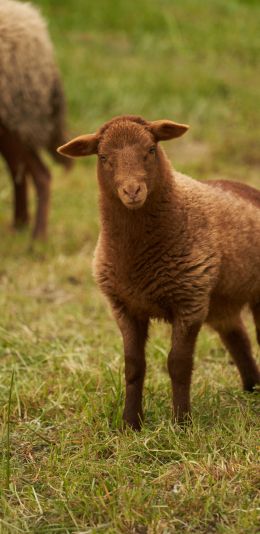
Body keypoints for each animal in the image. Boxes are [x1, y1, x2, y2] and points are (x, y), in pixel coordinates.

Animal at [58, 116, 258, 432]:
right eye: (103, 157)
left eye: (151, 149)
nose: (132, 191)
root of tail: (247, 188)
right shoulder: (124, 307)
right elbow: (133, 366)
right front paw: (130, 424)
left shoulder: (189, 302)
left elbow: (178, 365)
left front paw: (181, 424)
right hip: (220, 303)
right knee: (238, 338)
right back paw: (252, 389)